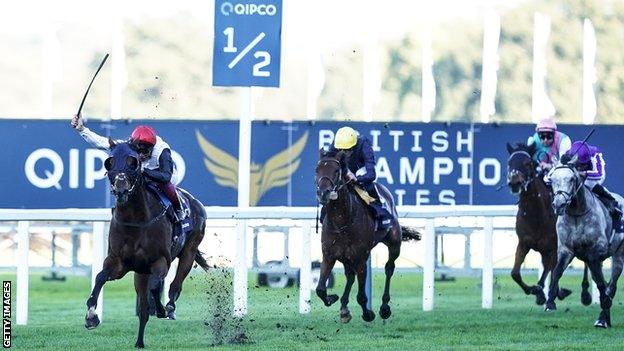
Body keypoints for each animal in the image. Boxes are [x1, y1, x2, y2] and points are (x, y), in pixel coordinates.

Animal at [83, 141, 211, 350]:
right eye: (109, 162)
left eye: (133, 162)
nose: (121, 189)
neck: (135, 221)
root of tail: (195, 202)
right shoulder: (118, 262)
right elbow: (100, 277)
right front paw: (91, 317)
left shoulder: (160, 261)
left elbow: (156, 287)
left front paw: (160, 309)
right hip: (139, 273)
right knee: (143, 309)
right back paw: (139, 342)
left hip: (189, 251)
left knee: (176, 283)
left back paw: (170, 307)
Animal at [314, 150, 422, 324]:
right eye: (317, 170)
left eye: (336, 171)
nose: (323, 193)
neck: (342, 221)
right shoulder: (329, 255)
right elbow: (320, 289)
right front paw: (333, 298)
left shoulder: (361, 258)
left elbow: (361, 296)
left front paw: (368, 314)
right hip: (346, 257)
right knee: (350, 276)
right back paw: (344, 308)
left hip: (394, 243)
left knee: (389, 268)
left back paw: (384, 308)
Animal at [504, 144, 588, 306]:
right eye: (509, 163)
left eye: (527, 163)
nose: (514, 183)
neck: (536, 214)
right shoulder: (524, 243)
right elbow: (515, 273)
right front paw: (536, 291)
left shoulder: (554, 247)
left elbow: (549, 272)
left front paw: (542, 293)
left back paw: (585, 294)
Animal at [544, 164, 624, 328]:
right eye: (552, 179)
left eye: (571, 179)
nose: (559, 204)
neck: (576, 214)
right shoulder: (566, 249)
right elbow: (556, 272)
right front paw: (550, 302)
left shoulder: (596, 251)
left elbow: (601, 283)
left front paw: (604, 302)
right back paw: (604, 318)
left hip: (619, 254)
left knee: (612, 284)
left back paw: (602, 318)